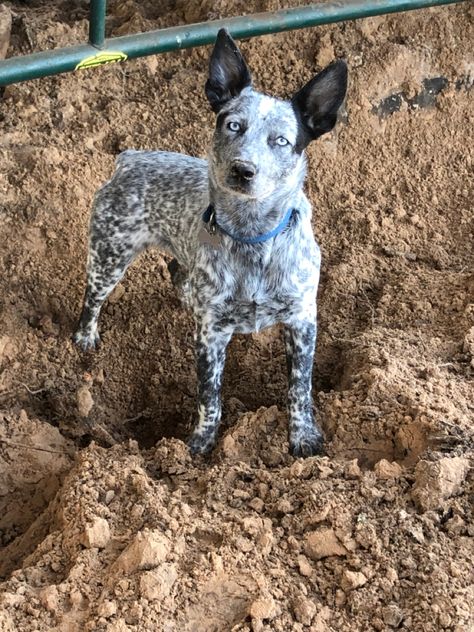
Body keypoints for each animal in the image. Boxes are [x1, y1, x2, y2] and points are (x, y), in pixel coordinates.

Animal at [74, 29, 348, 456]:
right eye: (233, 125)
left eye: (282, 141)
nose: (243, 169)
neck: (252, 239)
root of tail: (131, 158)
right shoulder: (211, 334)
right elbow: (210, 395)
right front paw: (201, 443)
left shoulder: (302, 320)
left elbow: (300, 388)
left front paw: (304, 437)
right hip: (109, 255)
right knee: (93, 299)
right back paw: (85, 336)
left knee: (176, 269)